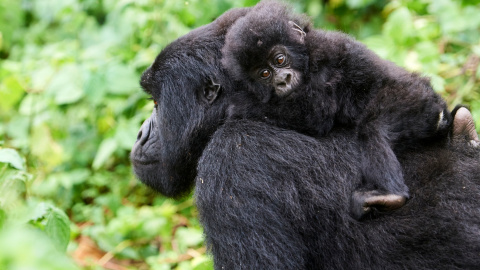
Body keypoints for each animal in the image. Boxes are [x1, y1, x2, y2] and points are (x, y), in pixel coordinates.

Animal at [223, 1, 452, 219]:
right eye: (264, 74)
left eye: (279, 59)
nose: (282, 80)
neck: (306, 53)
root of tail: (442, 113)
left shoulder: (323, 57)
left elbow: (315, 115)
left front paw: (240, 104)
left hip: (416, 100)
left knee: (373, 130)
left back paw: (390, 194)